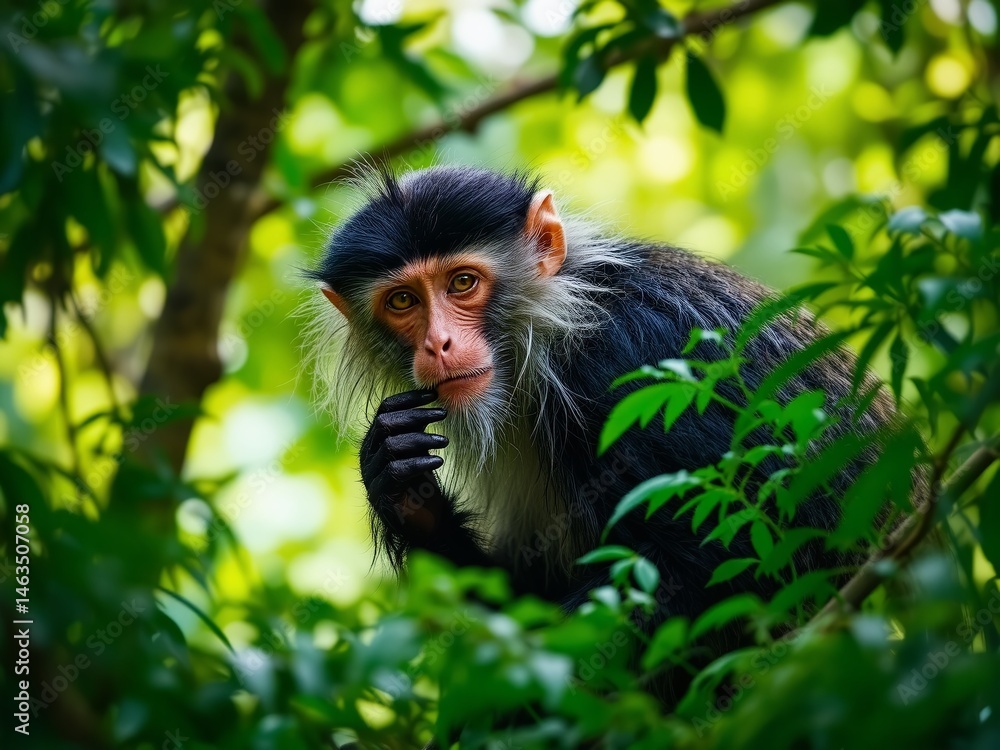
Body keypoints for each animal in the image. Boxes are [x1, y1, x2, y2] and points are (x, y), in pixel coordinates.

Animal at [305, 166, 896, 679]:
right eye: (403, 300)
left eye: (463, 283)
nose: (438, 343)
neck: (553, 337)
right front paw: (400, 487)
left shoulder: (628, 358)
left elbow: (735, 561)